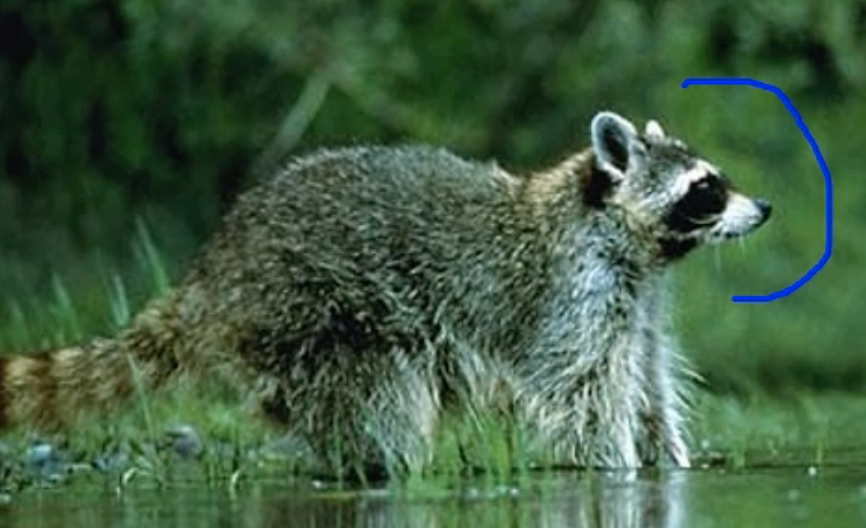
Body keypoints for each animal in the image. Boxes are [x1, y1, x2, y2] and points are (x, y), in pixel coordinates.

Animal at [0, 111, 770, 475]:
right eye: (705, 189)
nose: (762, 208)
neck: (629, 241)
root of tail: (210, 274)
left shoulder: (636, 304)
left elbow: (645, 382)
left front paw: (670, 458)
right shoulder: (570, 295)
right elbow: (581, 392)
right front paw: (617, 466)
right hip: (315, 310)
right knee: (382, 402)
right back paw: (378, 462)